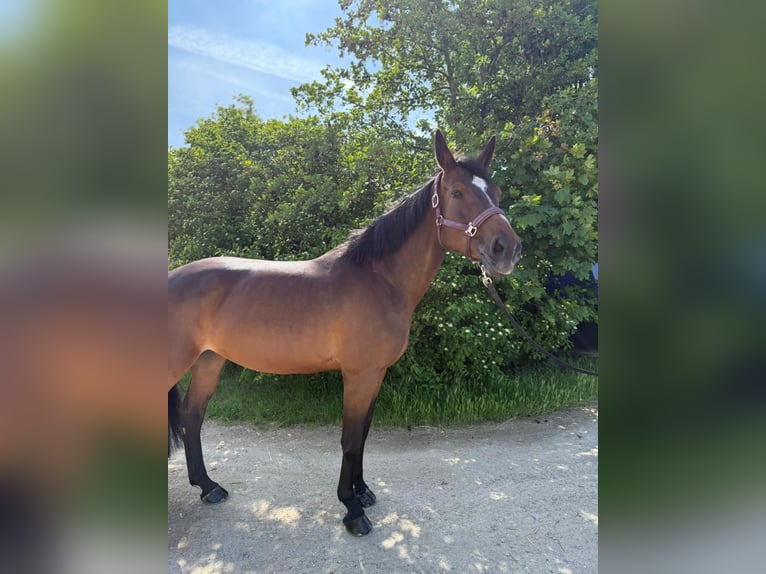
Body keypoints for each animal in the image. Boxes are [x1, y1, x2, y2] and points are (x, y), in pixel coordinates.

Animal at [168, 130, 522, 536]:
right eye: (458, 192)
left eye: (495, 190)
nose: (507, 249)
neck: (379, 280)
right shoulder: (358, 374)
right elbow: (351, 439)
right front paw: (352, 509)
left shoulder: (376, 373)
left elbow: (364, 434)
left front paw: (363, 491)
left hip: (209, 361)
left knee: (192, 417)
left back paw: (208, 487)